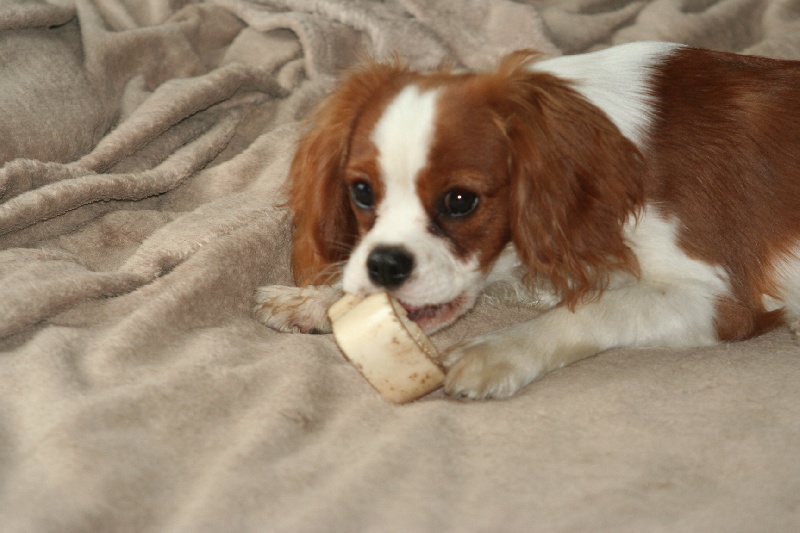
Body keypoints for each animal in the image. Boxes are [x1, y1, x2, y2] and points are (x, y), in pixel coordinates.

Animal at [253, 40, 800, 400]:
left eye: (459, 201)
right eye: (362, 192)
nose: (386, 264)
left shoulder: (723, 300)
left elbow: (597, 309)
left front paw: (496, 352)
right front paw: (314, 298)